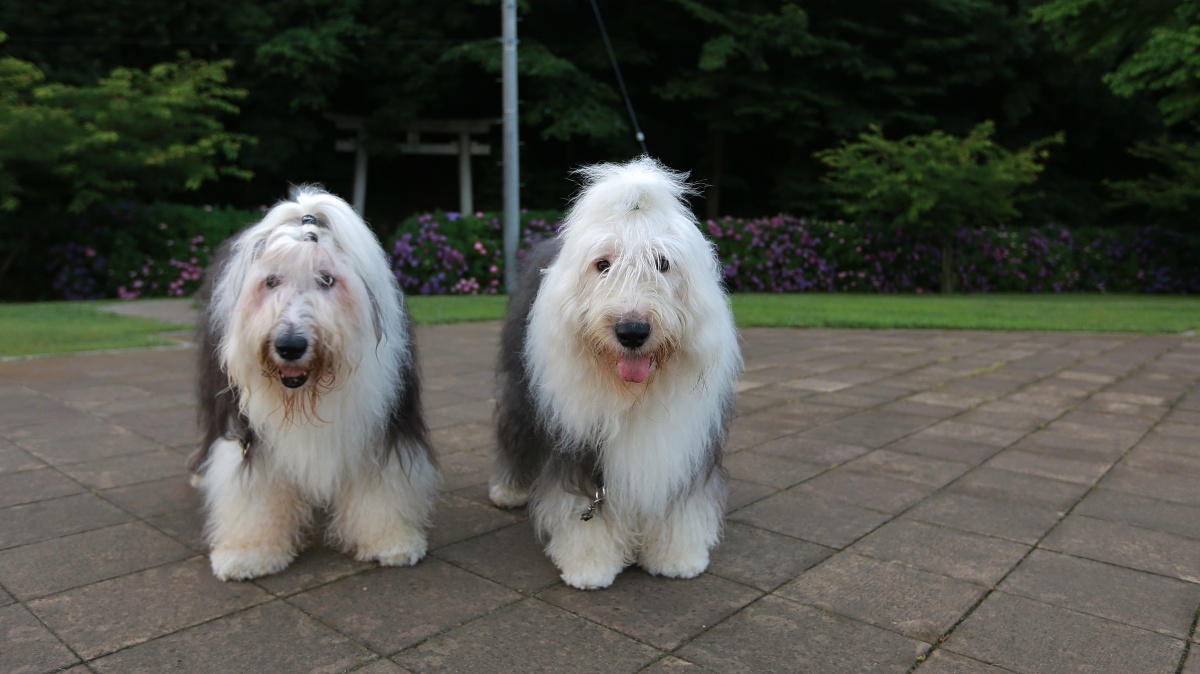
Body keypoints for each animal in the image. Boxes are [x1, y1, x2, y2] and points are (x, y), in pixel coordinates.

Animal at [187, 187, 438, 581]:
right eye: (271, 281)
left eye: (327, 279)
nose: (290, 346)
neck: (307, 395)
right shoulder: (249, 435)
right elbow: (253, 486)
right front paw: (249, 552)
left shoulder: (382, 422)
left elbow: (380, 480)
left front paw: (390, 541)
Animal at [490, 157, 743, 589]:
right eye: (602, 265)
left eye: (662, 263)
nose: (632, 331)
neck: (632, 395)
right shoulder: (577, 441)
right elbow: (580, 502)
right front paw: (589, 564)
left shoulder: (684, 445)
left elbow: (681, 502)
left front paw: (677, 556)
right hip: (521, 387)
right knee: (515, 430)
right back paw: (509, 490)